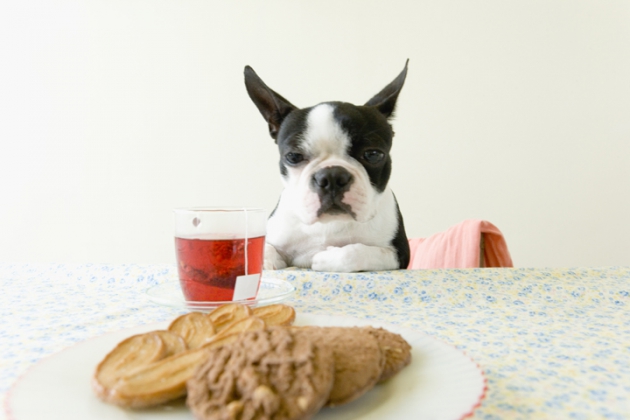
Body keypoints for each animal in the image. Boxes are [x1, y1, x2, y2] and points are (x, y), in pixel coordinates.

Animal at [244, 62, 412, 272]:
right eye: (293, 157)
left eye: (373, 155)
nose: (331, 176)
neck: (330, 224)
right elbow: (264, 249)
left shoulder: (399, 253)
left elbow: (355, 252)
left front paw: (326, 257)